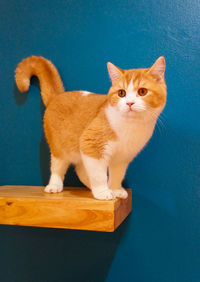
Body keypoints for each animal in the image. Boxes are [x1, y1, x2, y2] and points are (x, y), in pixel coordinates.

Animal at [14, 55, 166, 200]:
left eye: (142, 91)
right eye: (121, 93)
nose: (129, 103)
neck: (130, 126)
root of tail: (57, 96)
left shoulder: (122, 158)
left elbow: (117, 175)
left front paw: (115, 189)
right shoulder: (91, 145)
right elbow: (99, 175)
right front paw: (103, 192)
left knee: (81, 170)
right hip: (59, 148)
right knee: (58, 167)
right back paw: (55, 185)